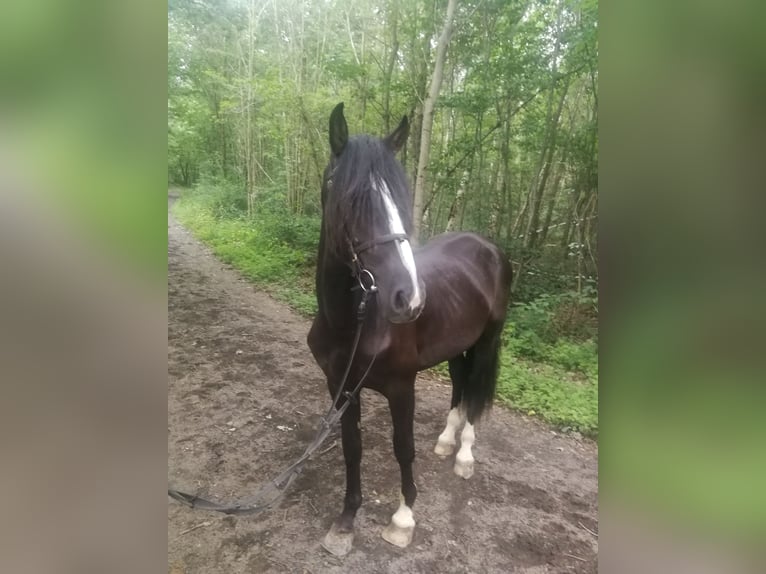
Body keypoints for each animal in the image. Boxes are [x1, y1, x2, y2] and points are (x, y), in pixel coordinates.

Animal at [308, 103, 516, 560]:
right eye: (350, 197)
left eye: (400, 197)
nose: (410, 297)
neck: (355, 323)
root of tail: (488, 247)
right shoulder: (340, 387)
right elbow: (352, 448)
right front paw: (346, 522)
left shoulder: (402, 388)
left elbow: (403, 449)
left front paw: (403, 520)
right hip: (458, 345)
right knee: (460, 382)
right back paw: (446, 439)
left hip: (488, 340)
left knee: (476, 390)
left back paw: (464, 454)